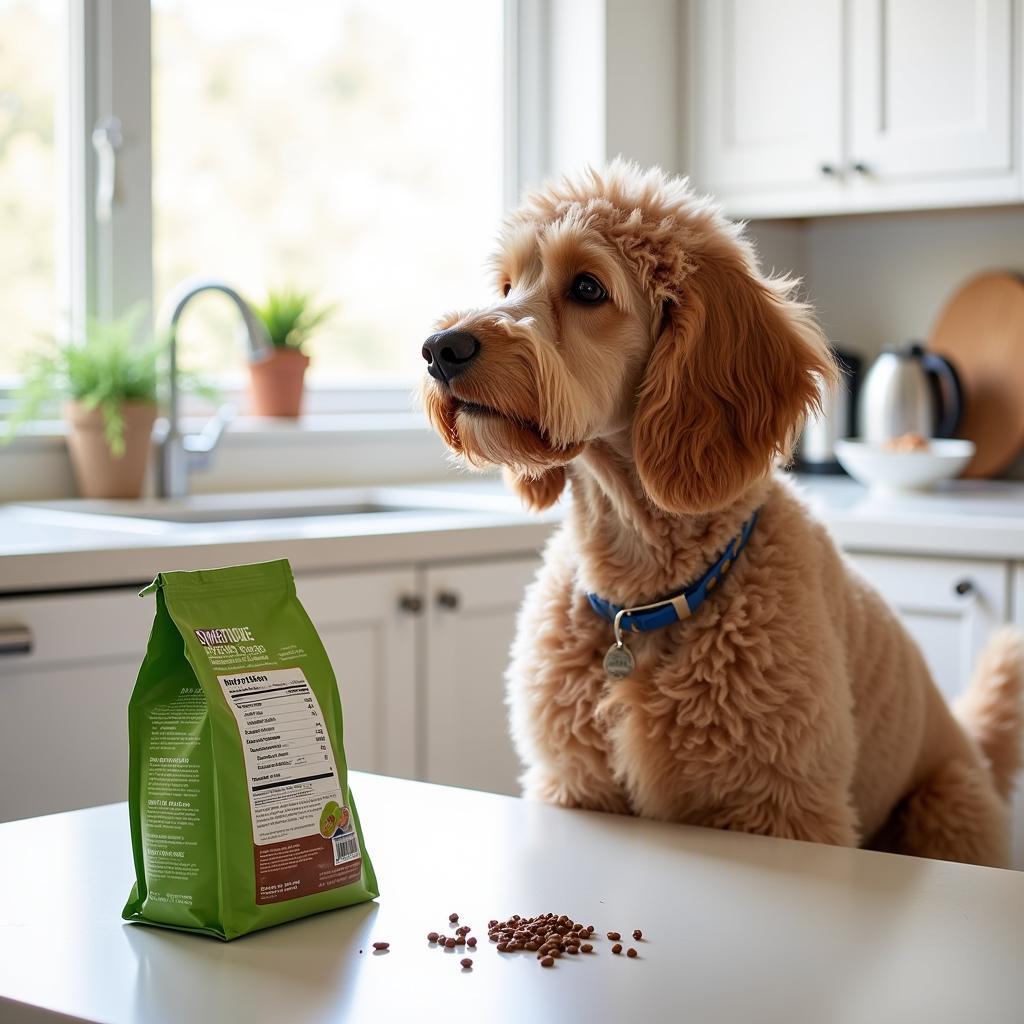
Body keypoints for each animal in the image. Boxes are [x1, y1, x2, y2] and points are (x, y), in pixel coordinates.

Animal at [417, 159, 1024, 864]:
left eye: (588, 288)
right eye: (508, 285)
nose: (440, 348)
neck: (640, 590)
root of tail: (972, 747)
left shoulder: (785, 808)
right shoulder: (576, 783)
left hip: (944, 805)